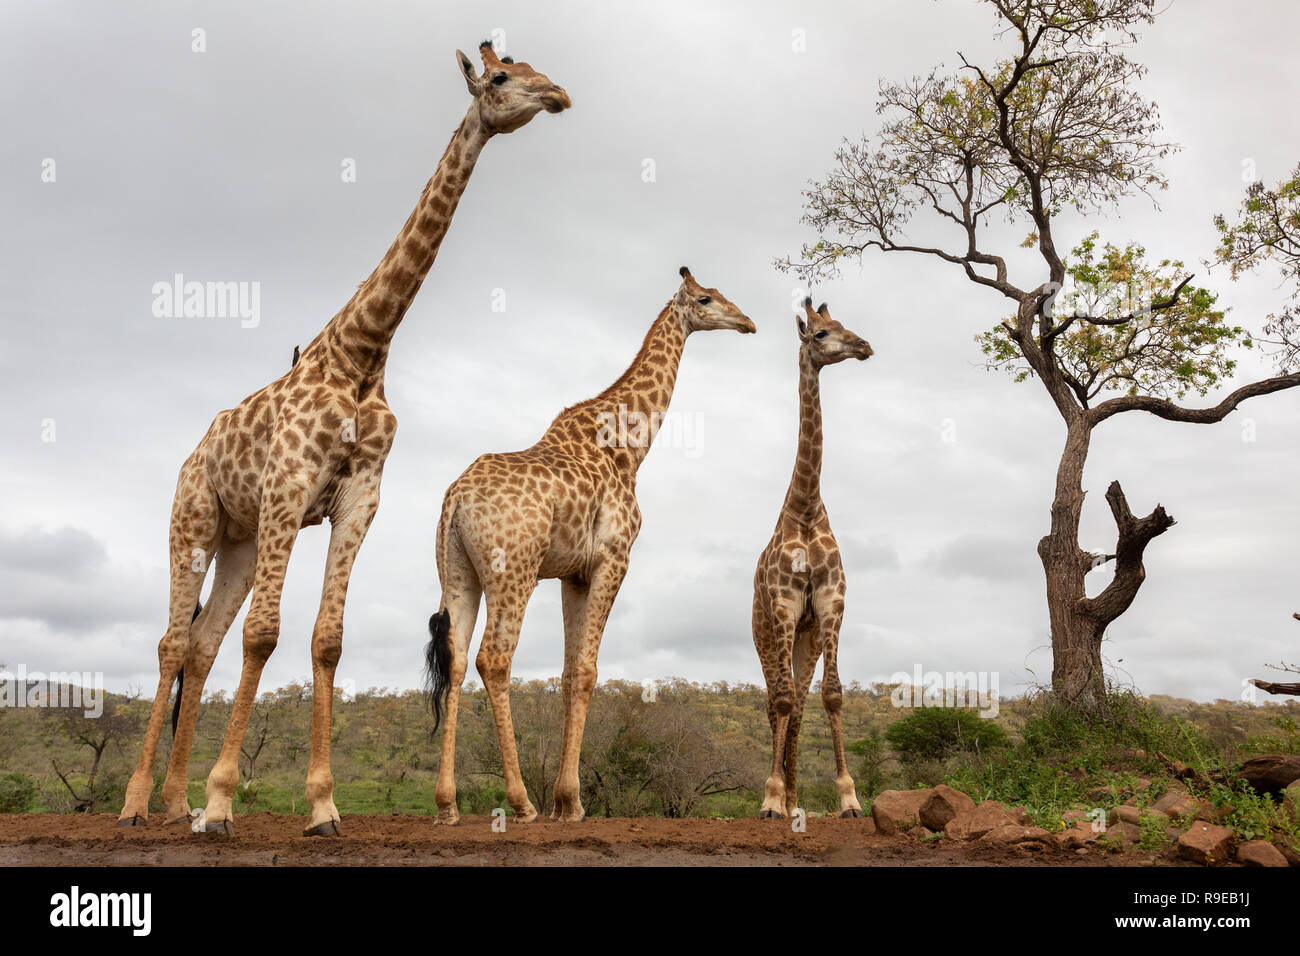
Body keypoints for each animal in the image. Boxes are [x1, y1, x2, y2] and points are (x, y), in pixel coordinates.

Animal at [117, 41, 570, 836]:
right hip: (193, 521)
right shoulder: (289, 486)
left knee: (200, 646)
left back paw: (174, 804)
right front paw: (223, 799)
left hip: (240, 540)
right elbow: (264, 635)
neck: (363, 354)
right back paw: (139, 802)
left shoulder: (359, 498)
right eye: (501, 78)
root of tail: (191, 458)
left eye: (532, 68)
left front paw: (321, 806)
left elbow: (325, 640)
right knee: (173, 642)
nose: (558, 95)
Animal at [425, 267, 756, 824]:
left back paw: (446, 805)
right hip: (513, 571)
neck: (627, 448)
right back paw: (522, 803)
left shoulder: (571, 573)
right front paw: (570, 802)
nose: (748, 321)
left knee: (455, 659)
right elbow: (586, 671)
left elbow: (566, 672)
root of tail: (456, 498)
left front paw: (565, 801)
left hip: (458, 573)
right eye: (706, 299)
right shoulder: (613, 560)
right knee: (494, 658)